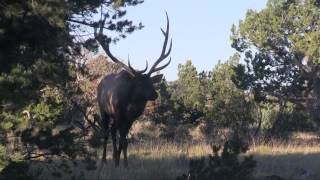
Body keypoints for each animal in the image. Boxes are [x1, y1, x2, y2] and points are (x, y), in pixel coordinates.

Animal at [95, 13, 171, 167]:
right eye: (140, 83)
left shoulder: (131, 118)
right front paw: (124, 164)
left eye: (151, 82)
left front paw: (122, 162)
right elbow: (123, 140)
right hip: (103, 109)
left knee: (113, 131)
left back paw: (115, 159)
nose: (155, 95)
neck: (129, 102)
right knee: (106, 132)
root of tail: (100, 83)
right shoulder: (119, 113)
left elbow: (125, 141)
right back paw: (105, 160)